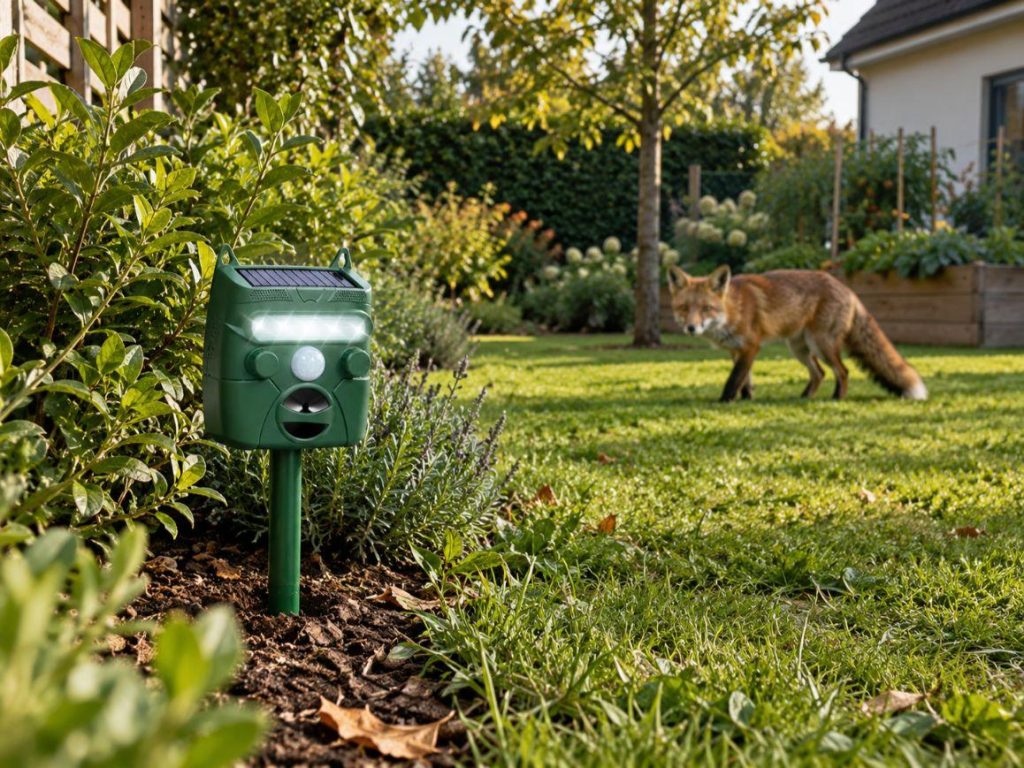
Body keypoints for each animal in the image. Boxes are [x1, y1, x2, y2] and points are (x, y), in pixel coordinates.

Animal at [667, 264, 927, 403]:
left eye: (705, 309)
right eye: (684, 308)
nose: (691, 328)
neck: (733, 310)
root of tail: (848, 289)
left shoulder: (751, 347)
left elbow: (733, 379)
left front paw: (724, 401)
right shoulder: (737, 351)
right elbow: (745, 381)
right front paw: (746, 400)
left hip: (822, 344)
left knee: (843, 371)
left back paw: (836, 398)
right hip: (800, 349)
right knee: (820, 373)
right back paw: (804, 397)